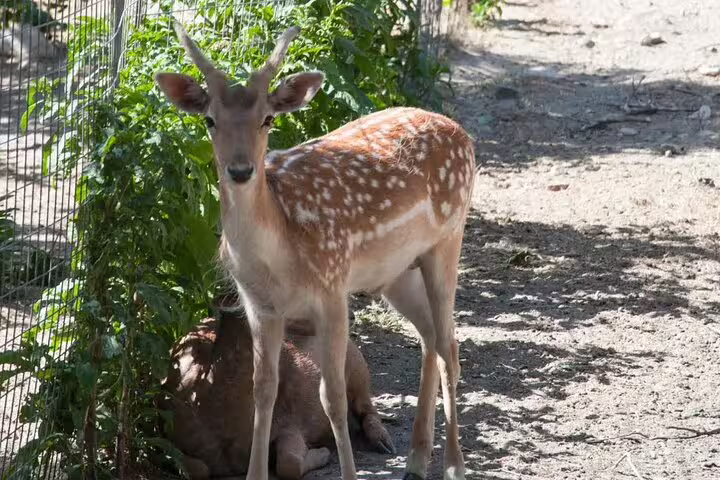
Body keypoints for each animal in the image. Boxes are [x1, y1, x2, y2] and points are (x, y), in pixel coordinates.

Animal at [159, 294, 394, 479]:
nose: (348, 314)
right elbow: (197, 468)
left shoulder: (290, 424)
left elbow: (288, 463)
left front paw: (323, 454)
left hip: (356, 367)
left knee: (366, 406)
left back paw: (384, 442)